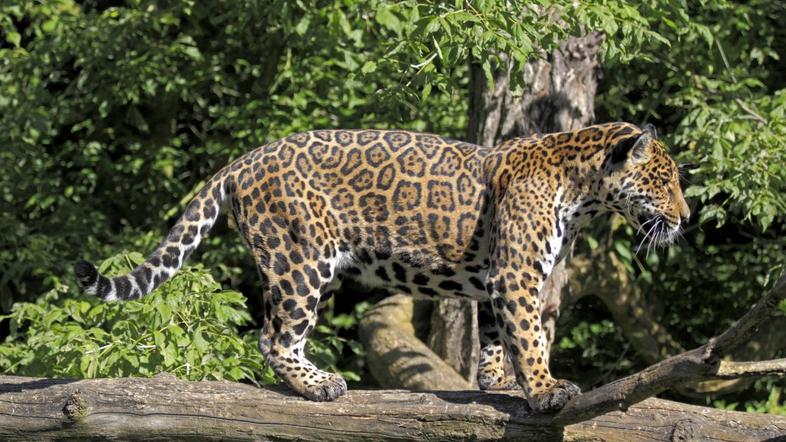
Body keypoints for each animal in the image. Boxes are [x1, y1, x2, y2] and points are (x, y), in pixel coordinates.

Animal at [74, 122, 690, 413]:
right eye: (664, 181)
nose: (685, 217)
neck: (584, 191)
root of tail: (245, 159)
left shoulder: (498, 276)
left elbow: (499, 334)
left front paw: (497, 379)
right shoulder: (516, 274)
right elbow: (529, 334)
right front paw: (544, 389)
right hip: (300, 259)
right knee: (273, 338)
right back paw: (319, 385)